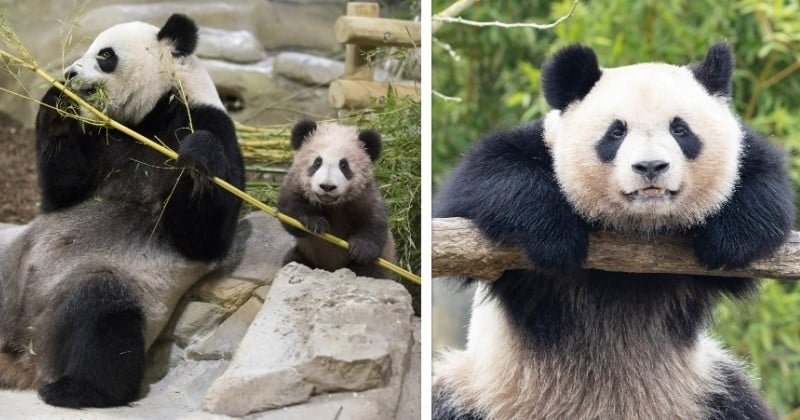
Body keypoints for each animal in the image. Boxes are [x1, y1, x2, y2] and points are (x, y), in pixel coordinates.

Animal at [0, 13, 245, 406]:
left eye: (105, 55)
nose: (69, 73)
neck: (147, 120)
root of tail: (22, 349)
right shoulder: (102, 140)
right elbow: (62, 193)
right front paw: (58, 101)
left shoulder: (207, 123)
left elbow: (204, 237)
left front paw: (197, 160)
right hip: (6, 263)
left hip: (108, 290)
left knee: (103, 317)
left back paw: (78, 389)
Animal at [278, 120, 396, 278]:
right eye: (317, 162)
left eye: (344, 165)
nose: (327, 186)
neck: (330, 205)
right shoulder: (295, 183)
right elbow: (289, 209)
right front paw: (315, 223)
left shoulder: (364, 194)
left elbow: (374, 221)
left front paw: (362, 248)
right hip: (305, 254)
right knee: (293, 260)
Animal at [432, 42, 792, 420]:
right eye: (616, 132)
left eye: (680, 130)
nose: (650, 167)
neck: (639, 226)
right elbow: (478, 184)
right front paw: (556, 238)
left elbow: (764, 188)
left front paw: (729, 239)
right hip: (483, 390)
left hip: (703, 391)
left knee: (740, 403)